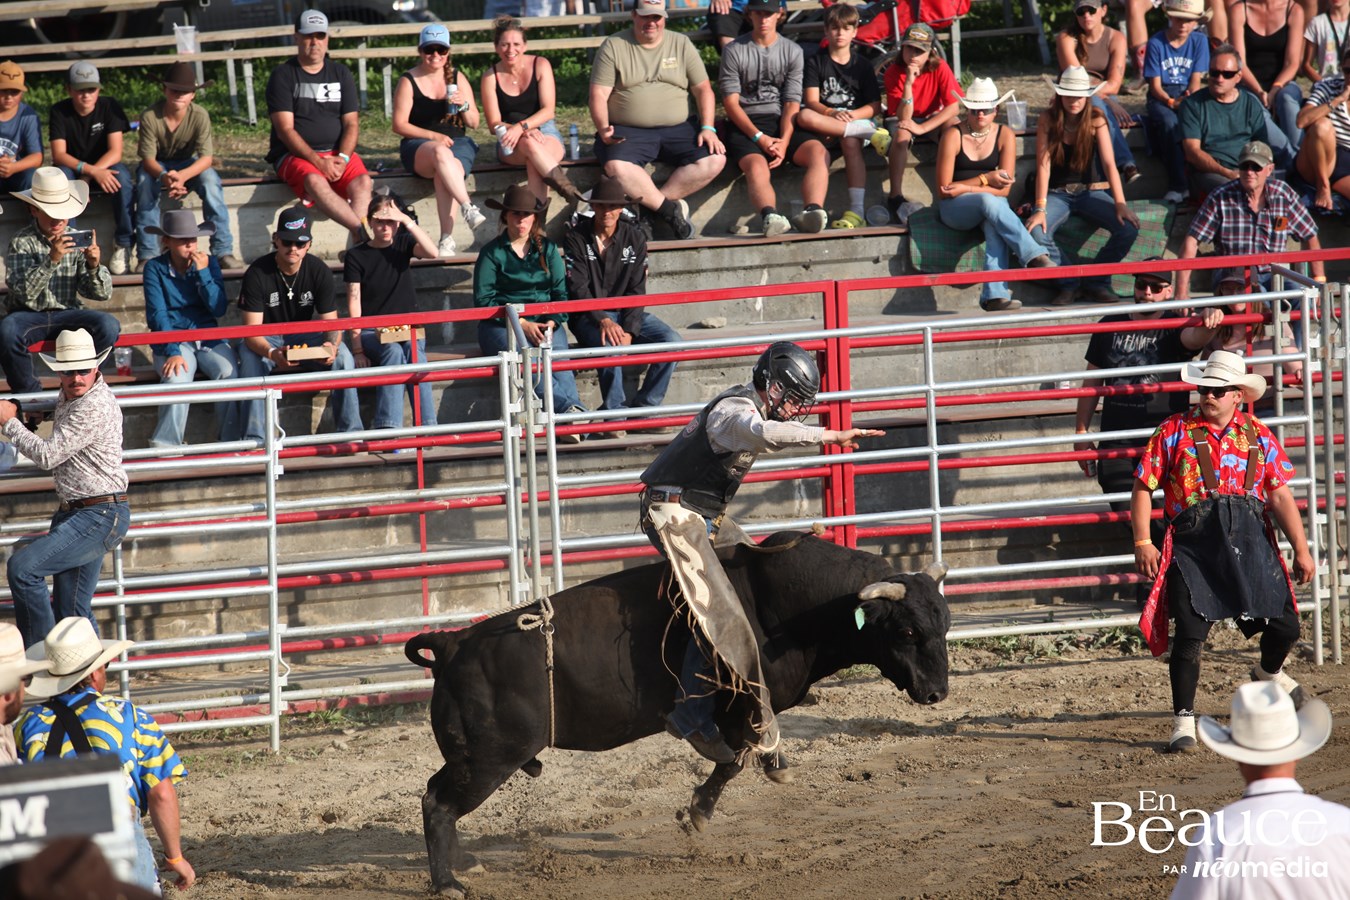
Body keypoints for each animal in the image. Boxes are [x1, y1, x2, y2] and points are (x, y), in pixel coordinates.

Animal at [404, 531, 951, 897]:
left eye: (944, 622)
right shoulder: (738, 707)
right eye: (906, 631)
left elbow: (739, 758)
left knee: (437, 797)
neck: (786, 607)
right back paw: (447, 881)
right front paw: (701, 812)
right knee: (438, 803)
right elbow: (732, 759)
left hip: (474, 758)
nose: (937, 692)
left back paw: (465, 863)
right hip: (489, 758)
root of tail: (454, 643)